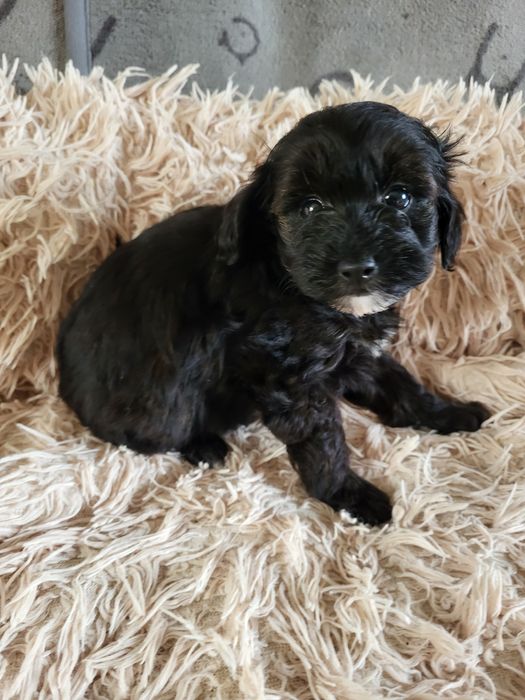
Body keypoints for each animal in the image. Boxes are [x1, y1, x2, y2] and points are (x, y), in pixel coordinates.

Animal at [57, 101, 490, 526]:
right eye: (310, 207)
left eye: (399, 198)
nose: (356, 268)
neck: (290, 281)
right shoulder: (282, 375)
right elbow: (320, 439)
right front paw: (348, 495)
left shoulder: (359, 354)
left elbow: (401, 384)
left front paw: (450, 413)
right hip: (160, 402)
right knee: (152, 430)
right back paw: (204, 445)